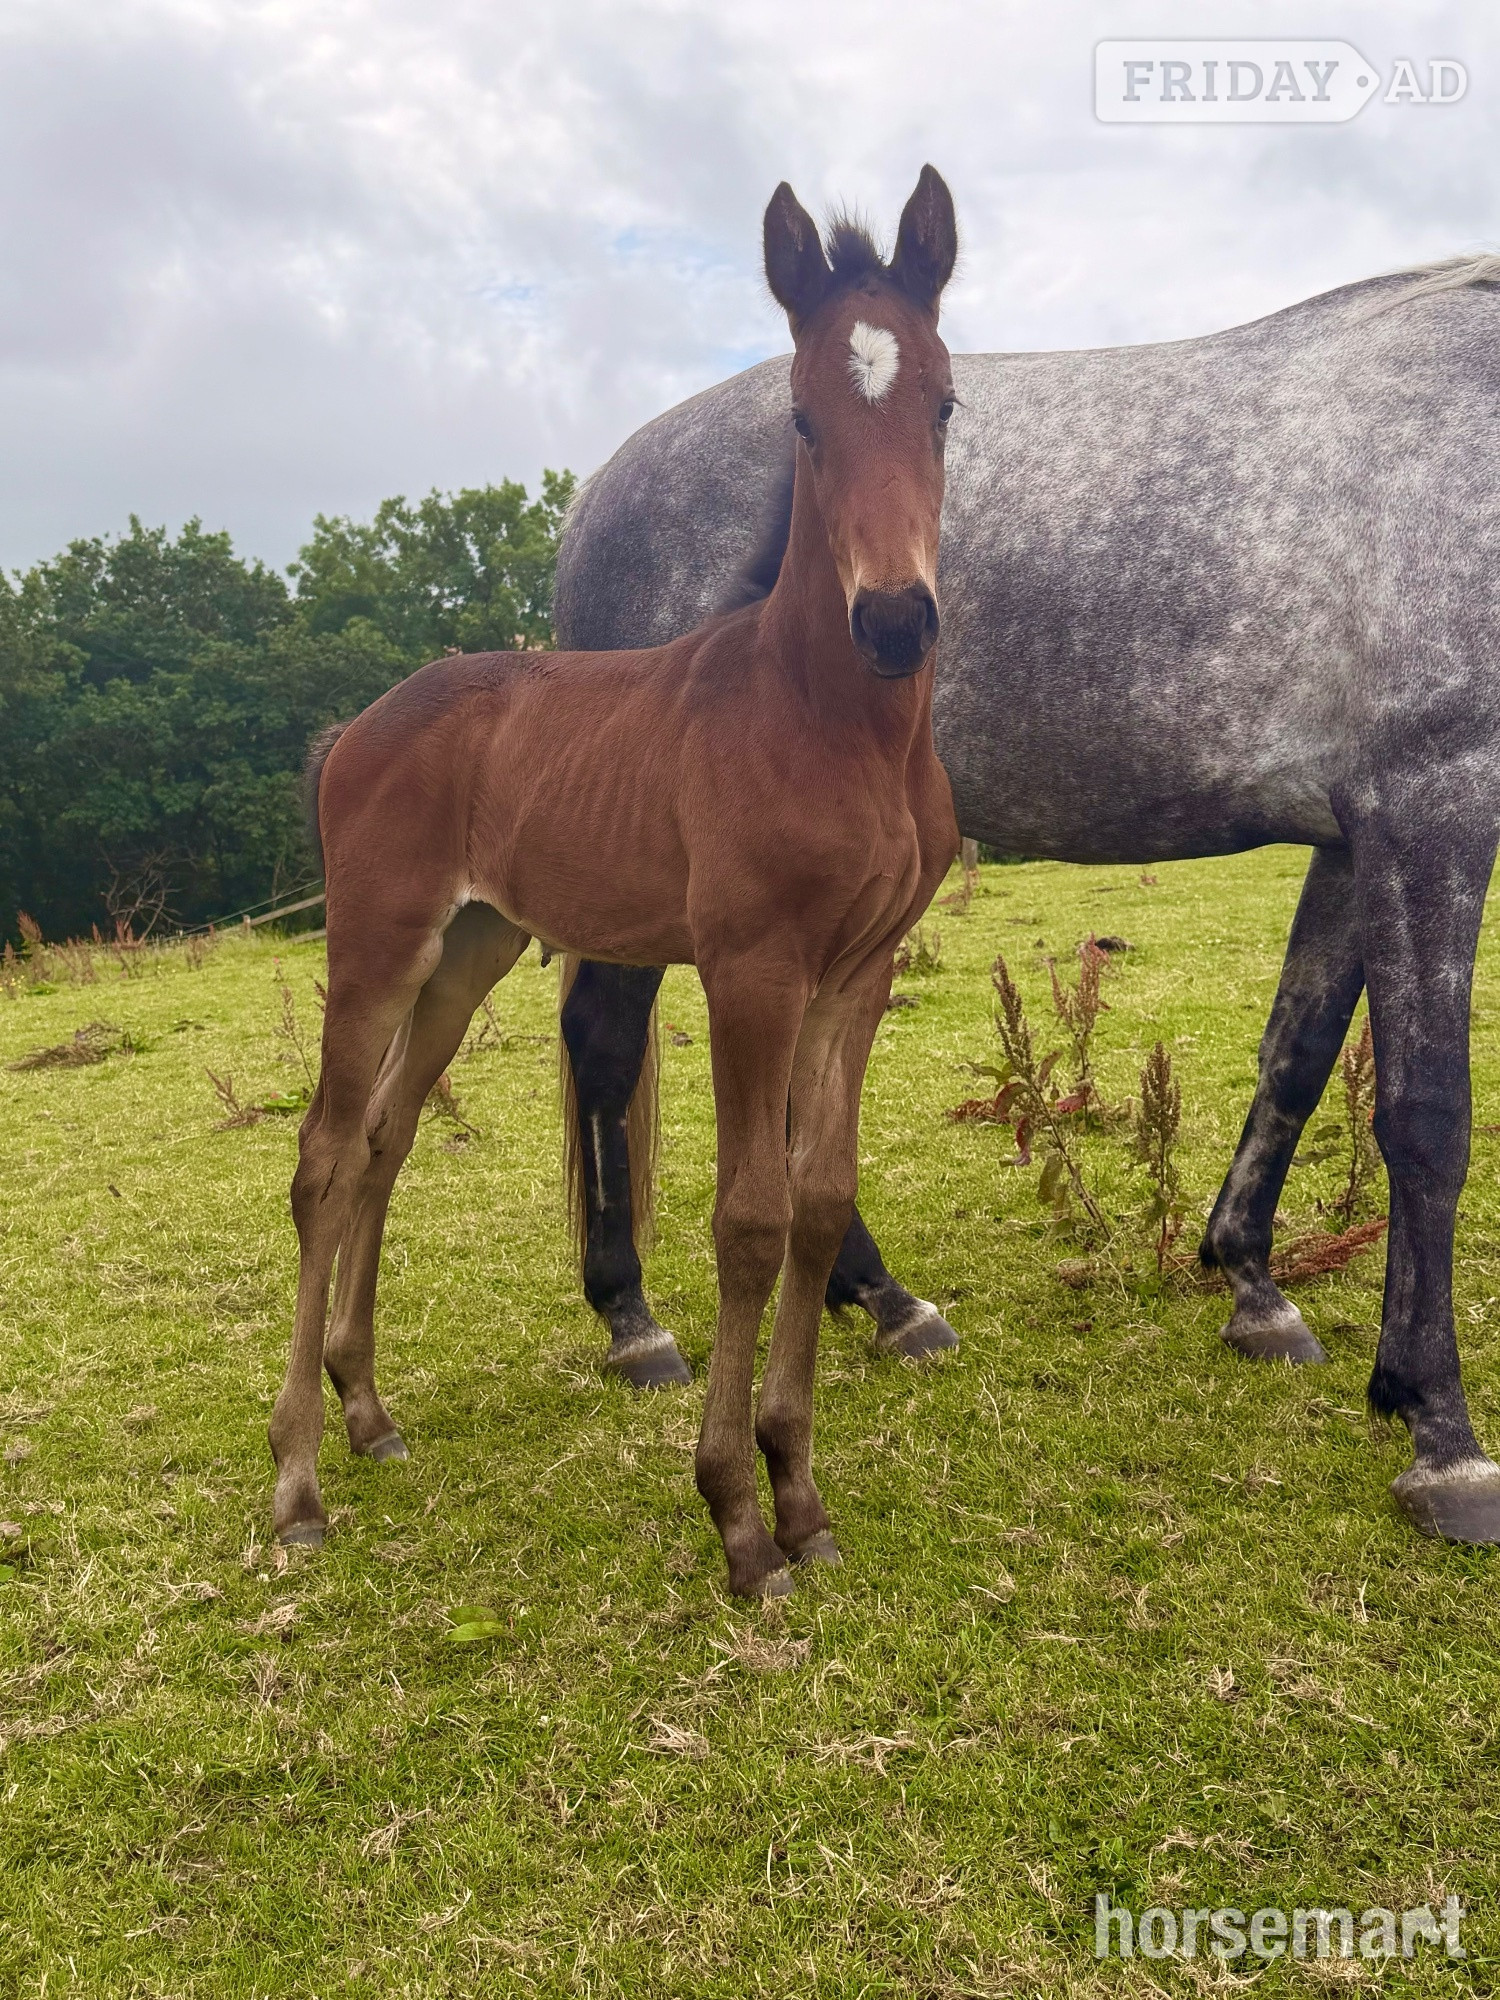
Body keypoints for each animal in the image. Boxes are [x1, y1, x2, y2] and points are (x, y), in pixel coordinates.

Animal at [272, 168, 962, 1598]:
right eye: (803, 418)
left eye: (943, 401)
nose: (894, 621)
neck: (825, 718)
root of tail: (357, 726)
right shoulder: (753, 967)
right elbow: (750, 1218)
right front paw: (740, 1517)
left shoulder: (857, 973)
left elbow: (819, 1206)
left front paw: (802, 1492)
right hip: (376, 945)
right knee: (319, 1158)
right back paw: (296, 1481)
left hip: (468, 952)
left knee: (382, 1140)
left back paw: (367, 1409)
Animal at [552, 254, 1500, 1546]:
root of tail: (596, 494)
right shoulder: (1434, 803)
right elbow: (1429, 1119)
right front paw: (1446, 1436)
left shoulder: (1358, 837)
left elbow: (1298, 1056)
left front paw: (1261, 1292)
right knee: (605, 1038)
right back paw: (638, 1323)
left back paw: (884, 1300)